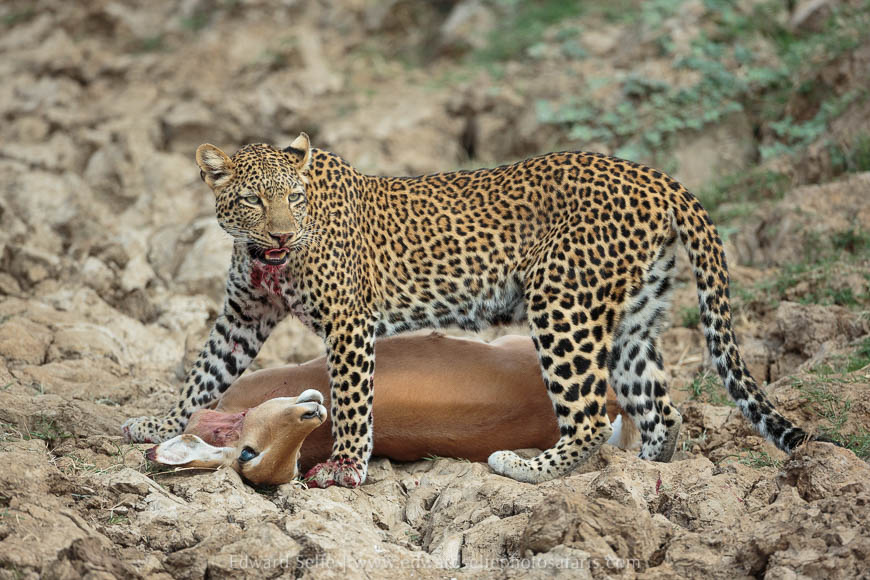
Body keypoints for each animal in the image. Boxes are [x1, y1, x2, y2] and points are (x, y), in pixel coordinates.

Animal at [123, 133, 818, 487]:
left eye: (293, 198)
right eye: (250, 200)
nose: (284, 235)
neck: (266, 258)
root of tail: (657, 178)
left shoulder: (348, 323)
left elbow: (352, 398)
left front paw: (345, 467)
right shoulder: (244, 316)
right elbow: (204, 372)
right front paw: (159, 424)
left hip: (561, 303)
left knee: (590, 414)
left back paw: (529, 469)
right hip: (631, 318)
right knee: (658, 409)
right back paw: (642, 478)